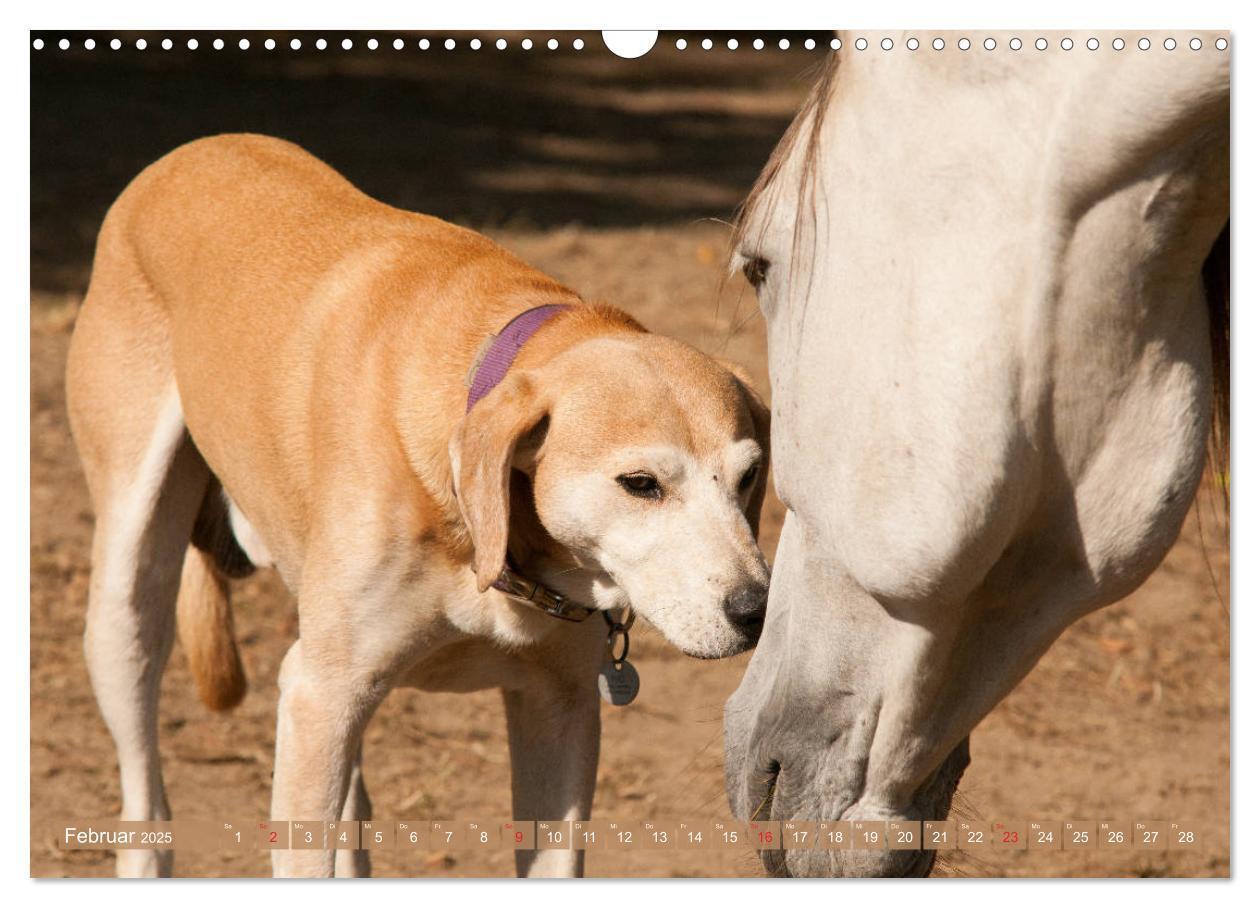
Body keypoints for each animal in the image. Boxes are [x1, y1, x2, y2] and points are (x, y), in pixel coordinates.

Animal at [68, 136, 771, 876]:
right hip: (127, 609)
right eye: (640, 483)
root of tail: (189, 152)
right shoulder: (320, 697)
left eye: (750, 476)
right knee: (147, 795)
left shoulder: (561, 708)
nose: (756, 612)